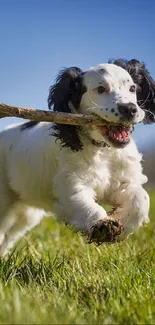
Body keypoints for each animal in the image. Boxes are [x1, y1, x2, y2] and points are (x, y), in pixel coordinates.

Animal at [0, 59, 154, 254]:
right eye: (101, 89)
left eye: (133, 88)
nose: (130, 109)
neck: (103, 150)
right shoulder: (71, 185)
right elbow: (84, 204)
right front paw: (103, 226)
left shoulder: (124, 181)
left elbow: (141, 198)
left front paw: (123, 224)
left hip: (25, 213)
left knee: (8, 237)